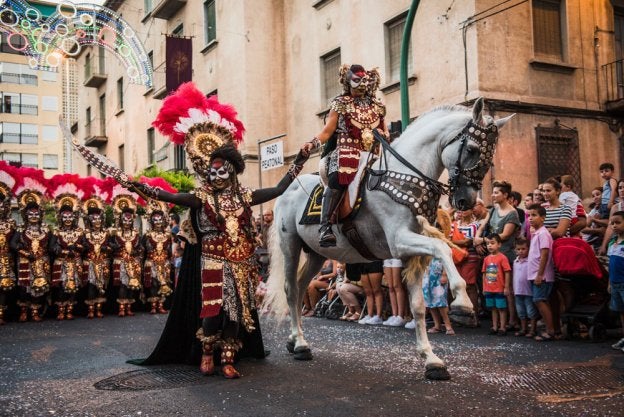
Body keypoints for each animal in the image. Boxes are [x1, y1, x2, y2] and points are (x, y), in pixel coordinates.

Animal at [264, 99, 512, 378]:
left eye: (490, 155)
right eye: (471, 149)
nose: (465, 201)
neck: (404, 175)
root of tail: (288, 190)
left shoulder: (412, 252)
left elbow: (418, 305)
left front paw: (431, 359)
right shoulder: (400, 240)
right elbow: (442, 247)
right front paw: (463, 304)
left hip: (317, 255)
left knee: (300, 287)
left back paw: (295, 339)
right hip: (291, 247)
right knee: (291, 289)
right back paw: (300, 344)